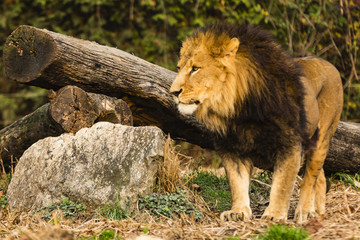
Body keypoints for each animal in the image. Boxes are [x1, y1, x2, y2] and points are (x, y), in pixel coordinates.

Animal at [170, 23, 342, 222]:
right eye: (179, 67)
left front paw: (274, 215)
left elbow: (282, 185)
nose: (173, 92)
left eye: (195, 68)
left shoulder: (289, 144)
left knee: (310, 177)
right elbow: (237, 183)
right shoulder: (231, 147)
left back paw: (305, 211)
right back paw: (317, 210)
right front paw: (238, 212)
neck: (240, 110)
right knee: (319, 177)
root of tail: (329, 64)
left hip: (321, 139)